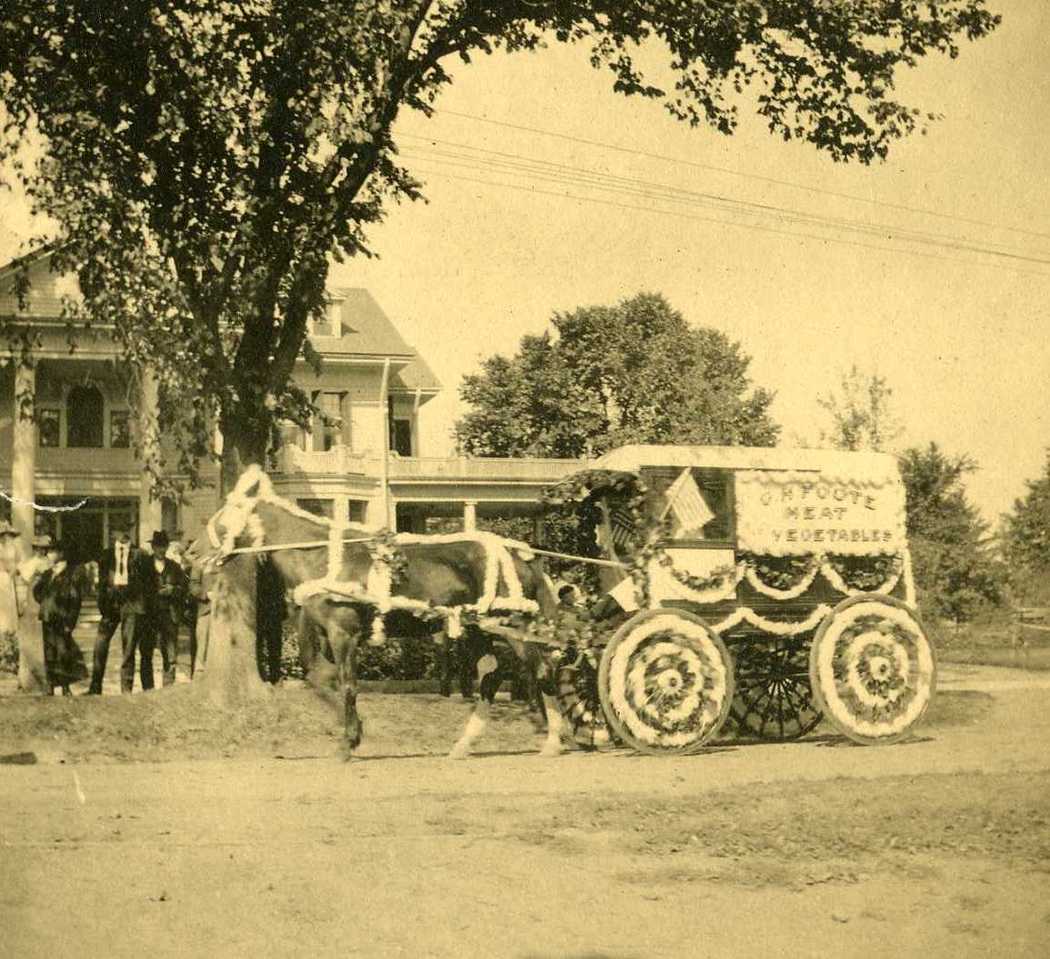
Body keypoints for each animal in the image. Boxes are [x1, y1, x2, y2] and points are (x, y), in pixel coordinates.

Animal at [200, 464, 571, 756]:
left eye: (230, 508)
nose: (193, 549)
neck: (323, 558)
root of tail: (520, 553)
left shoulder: (344, 633)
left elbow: (347, 683)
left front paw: (349, 740)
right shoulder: (319, 630)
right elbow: (318, 678)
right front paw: (354, 729)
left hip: (512, 625)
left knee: (540, 671)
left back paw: (554, 740)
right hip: (477, 628)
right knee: (495, 677)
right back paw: (465, 744)